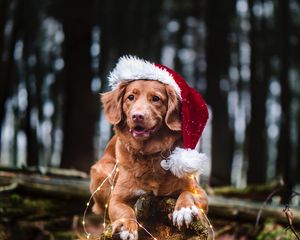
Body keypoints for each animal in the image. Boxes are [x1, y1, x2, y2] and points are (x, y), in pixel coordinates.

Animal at [89, 77, 209, 240]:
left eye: (156, 98)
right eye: (130, 97)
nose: (137, 116)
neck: (149, 154)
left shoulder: (200, 192)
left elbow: (188, 193)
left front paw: (183, 209)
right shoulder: (116, 198)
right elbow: (125, 210)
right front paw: (127, 227)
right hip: (103, 172)